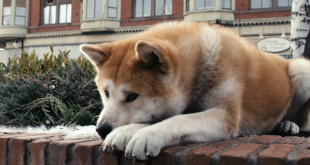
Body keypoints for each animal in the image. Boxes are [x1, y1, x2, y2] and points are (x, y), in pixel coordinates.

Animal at [79, 21, 310, 160]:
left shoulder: (224, 116)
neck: (201, 65)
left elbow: (178, 120)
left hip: (302, 70)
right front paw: (125, 132)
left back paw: (290, 125)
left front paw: (147, 135)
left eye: (132, 96)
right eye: (106, 93)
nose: (101, 129)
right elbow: (166, 116)